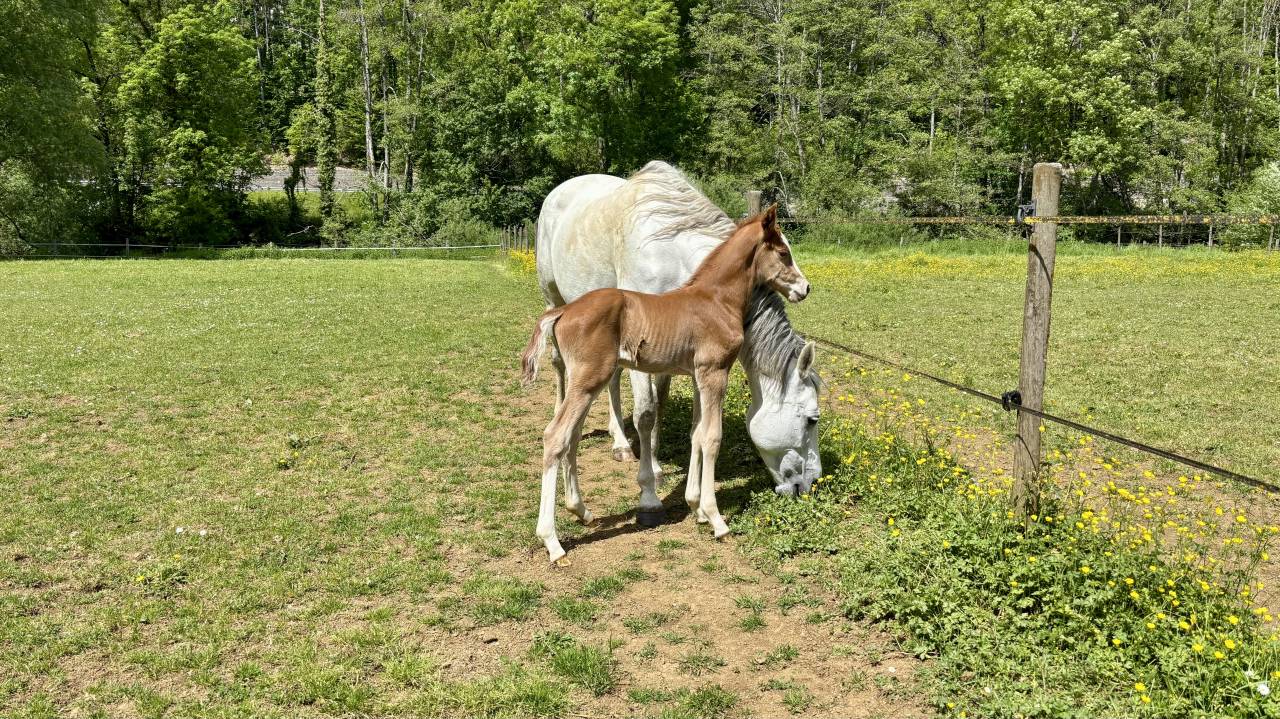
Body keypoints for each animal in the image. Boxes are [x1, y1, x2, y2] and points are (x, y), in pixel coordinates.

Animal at [535, 161, 823, 522]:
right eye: (811, 419)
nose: (812, 483)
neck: (672, 251)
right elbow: (645, 414)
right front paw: (648, 493)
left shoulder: (679, 357)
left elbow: (671, 413)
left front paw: (663, 473)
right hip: (553, 299)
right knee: (560, 370)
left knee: (611, 382)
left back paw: (620, 443)